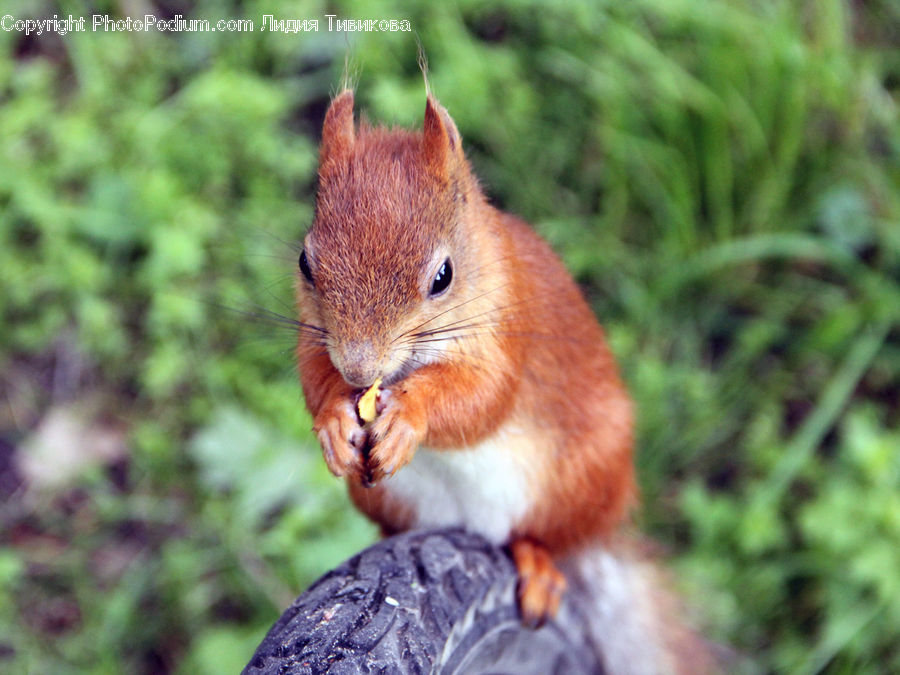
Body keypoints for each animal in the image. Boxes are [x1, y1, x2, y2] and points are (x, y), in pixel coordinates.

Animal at [296, 88, 712, 672]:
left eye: (443, 276)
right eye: (305, 263)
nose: (358, 370)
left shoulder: (508, 328)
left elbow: (483, 399)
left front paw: (409, 417)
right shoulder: (310, 334)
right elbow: (313, 375)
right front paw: (335, 419)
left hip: (580, 484)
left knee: (548, 539)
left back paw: (537, 566)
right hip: (387, 503)